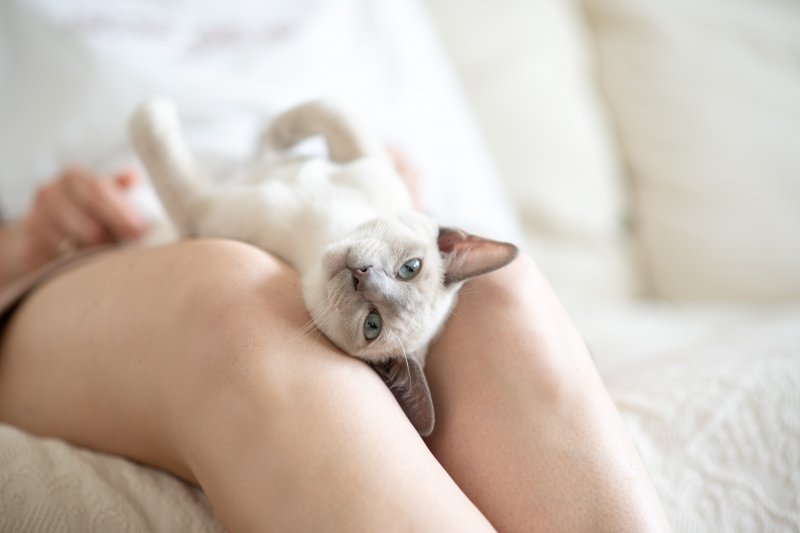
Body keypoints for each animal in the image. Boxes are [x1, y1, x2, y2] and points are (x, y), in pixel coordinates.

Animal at [130, 97, 520, 434]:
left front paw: (150, 110)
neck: (323, 231)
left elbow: (163, 149)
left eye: (373, 325)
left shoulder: (203, 212)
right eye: (411, 268)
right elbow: (332, 110)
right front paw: (277, 134)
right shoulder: (368, 160)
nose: (362, 275)